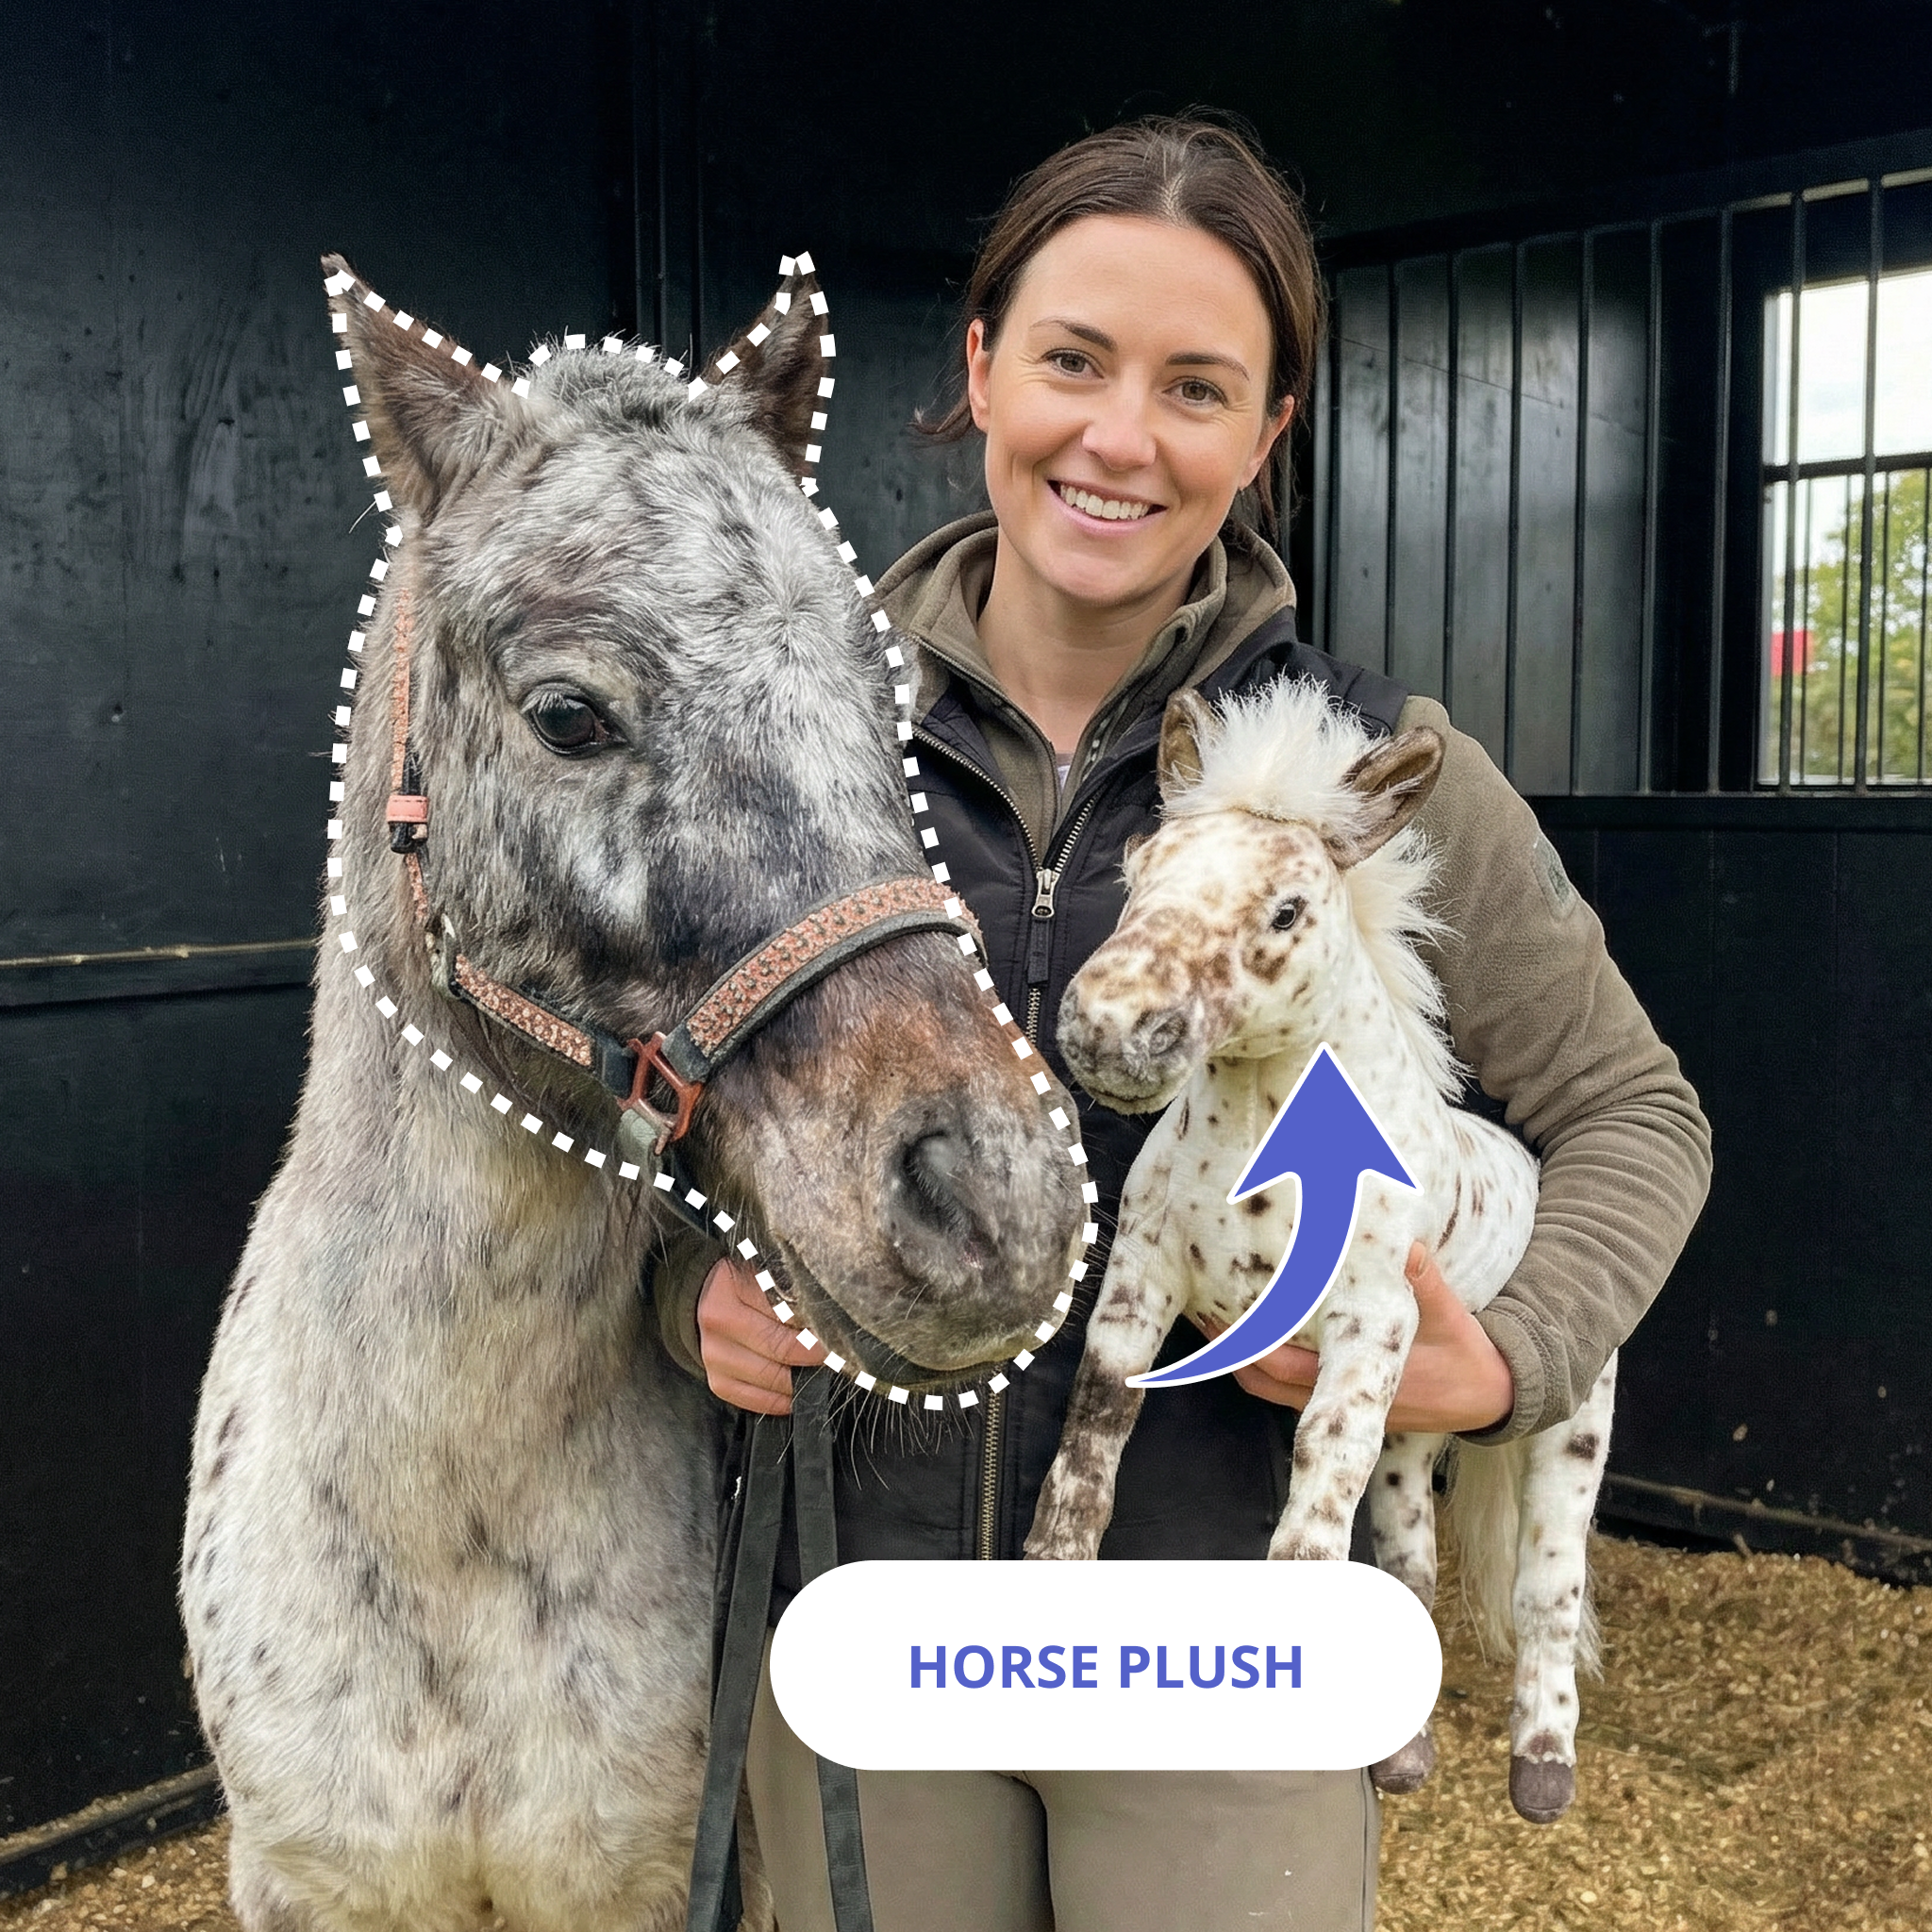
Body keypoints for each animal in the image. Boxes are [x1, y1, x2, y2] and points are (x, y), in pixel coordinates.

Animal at [1023, 679, 1617, 1825]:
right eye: (1137, 873)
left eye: (1286, 911)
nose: (1110, 1029)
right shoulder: (1139, 1280)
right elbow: (1092, 1436)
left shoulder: (1372, 1324)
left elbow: (1311, 1505)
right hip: (1416, 1435)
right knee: (1412, 1559)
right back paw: (1403, 1757)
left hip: (1574, 1423)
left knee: (1547, 1585)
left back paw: (1542, 1769)